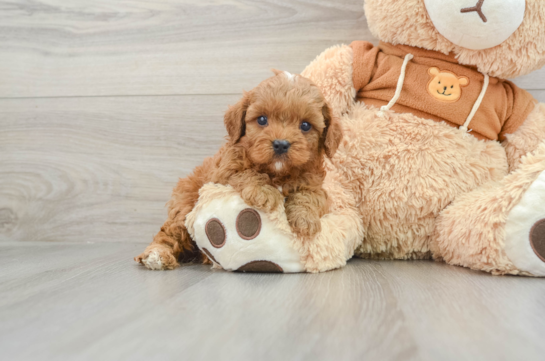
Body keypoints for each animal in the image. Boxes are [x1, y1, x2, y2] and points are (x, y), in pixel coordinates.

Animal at [135, 69, 340, 268]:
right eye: (262, 120)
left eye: (305, 125)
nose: (281, 144)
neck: (277, 172)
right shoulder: (223, 171)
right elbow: (244, 173)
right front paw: (264, 192)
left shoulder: (313, 183)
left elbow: (309, 195)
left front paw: (305, 219)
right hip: (184, 206)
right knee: (169, 232)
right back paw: (156, 255)